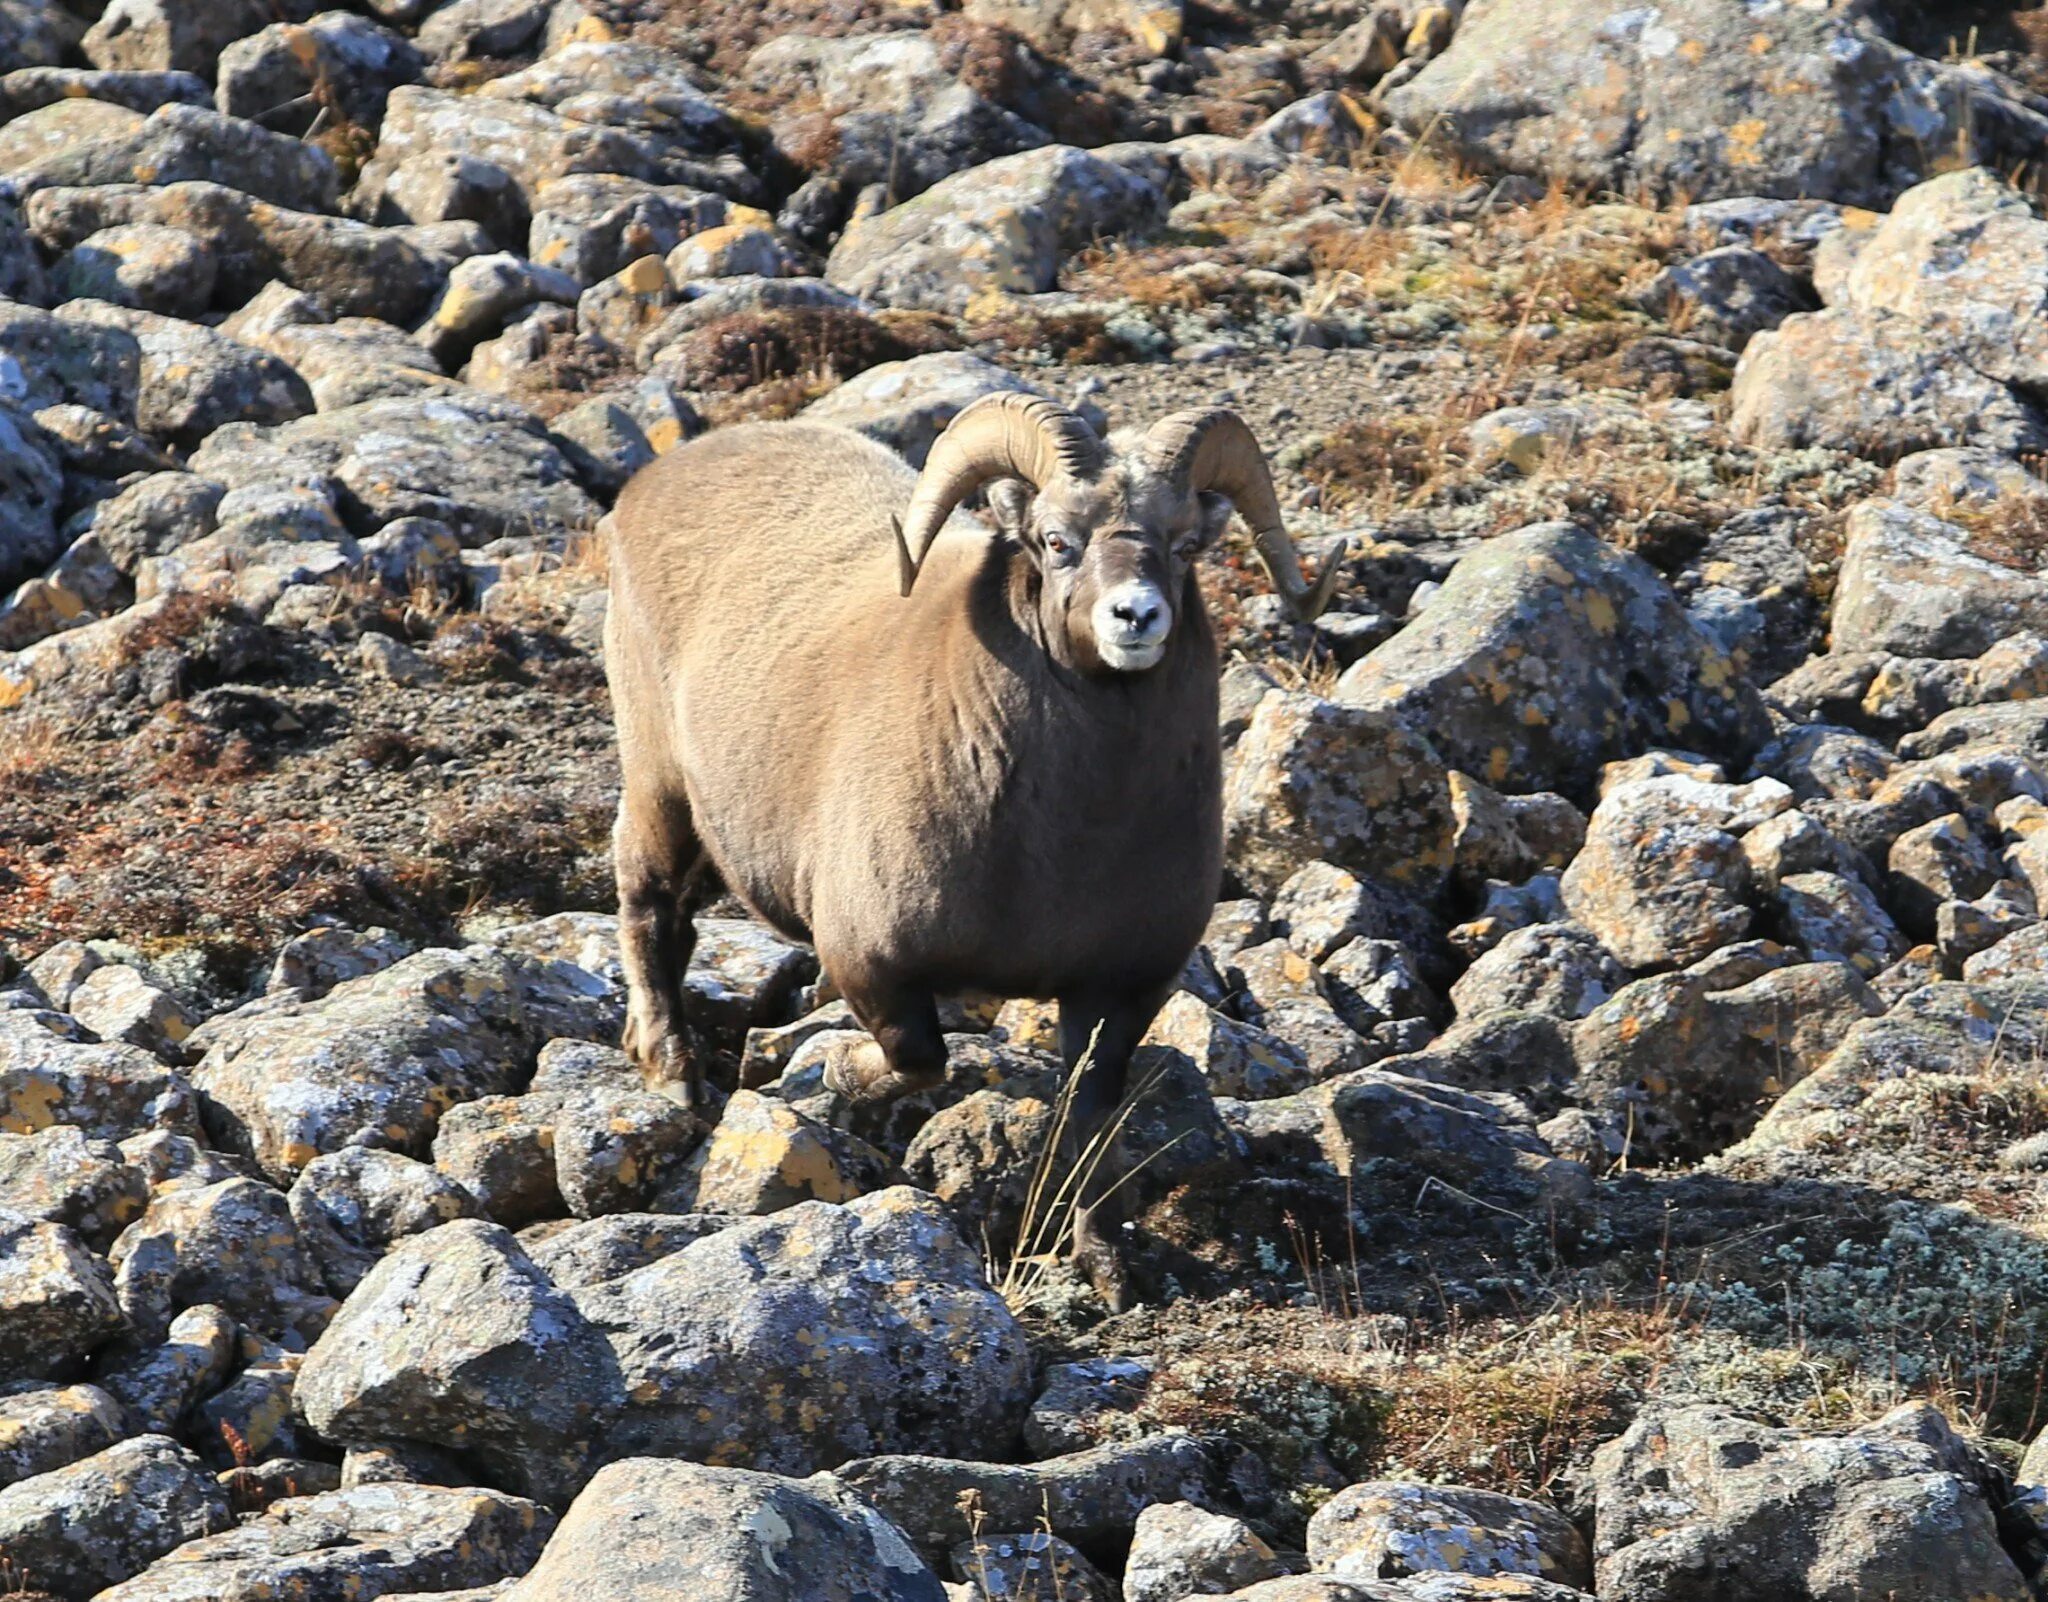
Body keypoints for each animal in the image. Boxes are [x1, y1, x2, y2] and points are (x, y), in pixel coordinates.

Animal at [602, 395, 1343, 1294]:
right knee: (653, 913)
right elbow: (918, 1058)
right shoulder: (873, 965)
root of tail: (648, 489)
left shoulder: (1119, 992)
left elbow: (1089, 1117)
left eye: (1183, 546)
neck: (1062, 845)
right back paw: (673, 1077)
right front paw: (836, 1075)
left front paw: (1104, 1263)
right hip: (661, 789)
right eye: (1056, 540)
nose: (1136, 617)